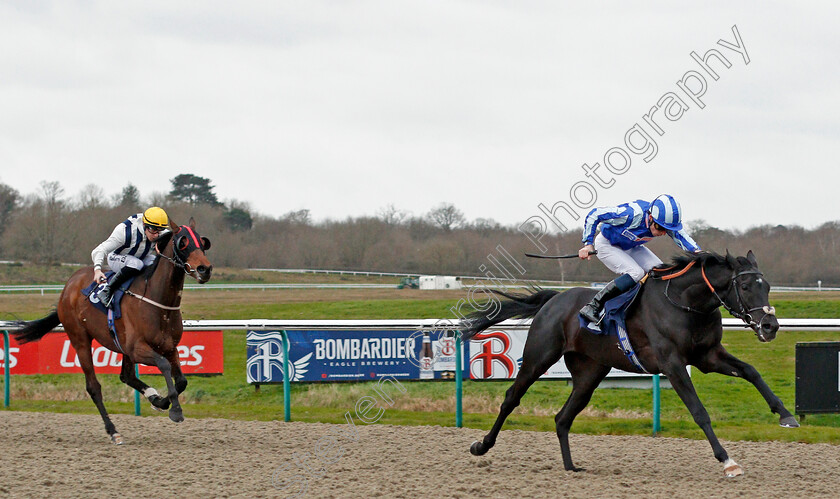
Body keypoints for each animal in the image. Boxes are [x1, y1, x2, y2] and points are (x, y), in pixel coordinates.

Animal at [13, 219, 213, 446]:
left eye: (203, 242)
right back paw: (113, 430)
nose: (205, 269)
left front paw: (161, 402)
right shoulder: (137, 348)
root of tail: (67, 287)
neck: (158, 302)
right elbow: (163, 365)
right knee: (93, 387)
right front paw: (175, 410)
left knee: (127, 376)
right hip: (80, 340)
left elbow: (181, 380)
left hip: (122, 346)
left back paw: (152, 397)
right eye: (183, 242)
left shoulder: (169, 347)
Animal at [462, 252, 796, 478]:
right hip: (538, 357)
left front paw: (786, 415)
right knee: (511, 398)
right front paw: (728, 461)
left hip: (590, 372)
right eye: (746, 286)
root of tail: (555, 299)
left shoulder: (708, 356)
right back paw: (482, 446)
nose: (770, 326)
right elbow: (699, 412)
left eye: (767, 286)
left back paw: (571, 467)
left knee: (562, 417)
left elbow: (751, 371)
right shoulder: (673, 364)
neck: (686, 303)